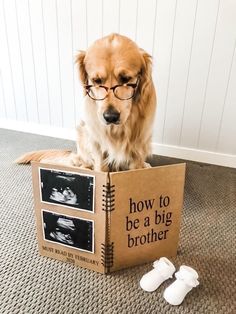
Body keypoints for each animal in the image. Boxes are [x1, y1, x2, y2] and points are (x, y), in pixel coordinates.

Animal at [16, 33, 157, 172]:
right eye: (97, 80)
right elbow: (100, 167)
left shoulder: (139, 144)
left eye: (126, 79)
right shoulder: (96, 142)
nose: (110, 117)